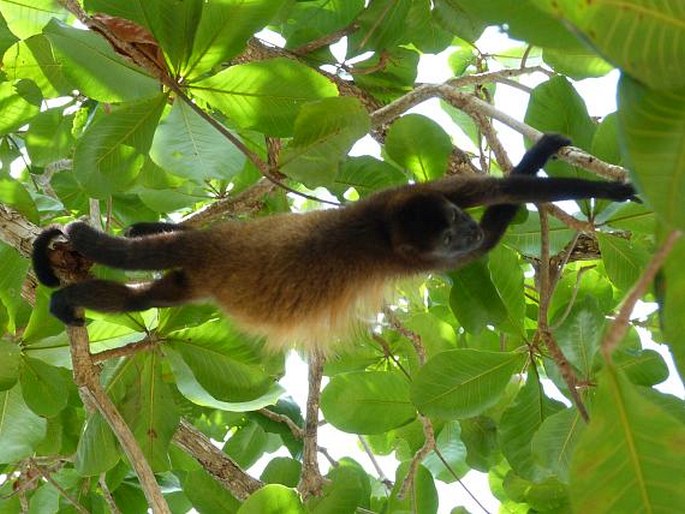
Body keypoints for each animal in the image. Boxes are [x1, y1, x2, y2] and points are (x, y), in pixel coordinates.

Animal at [34, 135, 636, 352]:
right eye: (448, 232)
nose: (461, 229)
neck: (388, 229)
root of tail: (211, 255)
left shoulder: (410, 199)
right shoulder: (416, 218)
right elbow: (500, 210)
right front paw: (602, 182)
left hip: (193, 275)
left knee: (144, 297)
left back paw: (79, 292)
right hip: (210, 251)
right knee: (145, 269)